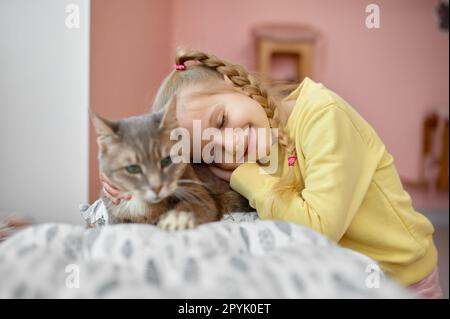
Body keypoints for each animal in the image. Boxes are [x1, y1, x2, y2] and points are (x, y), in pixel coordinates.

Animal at [90, 96, 253, 231]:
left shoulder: (200, 195)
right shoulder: (116, 216)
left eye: (166, 160)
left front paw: (177, 219)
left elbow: (190, 205)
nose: (156, 187)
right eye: (132, 168)